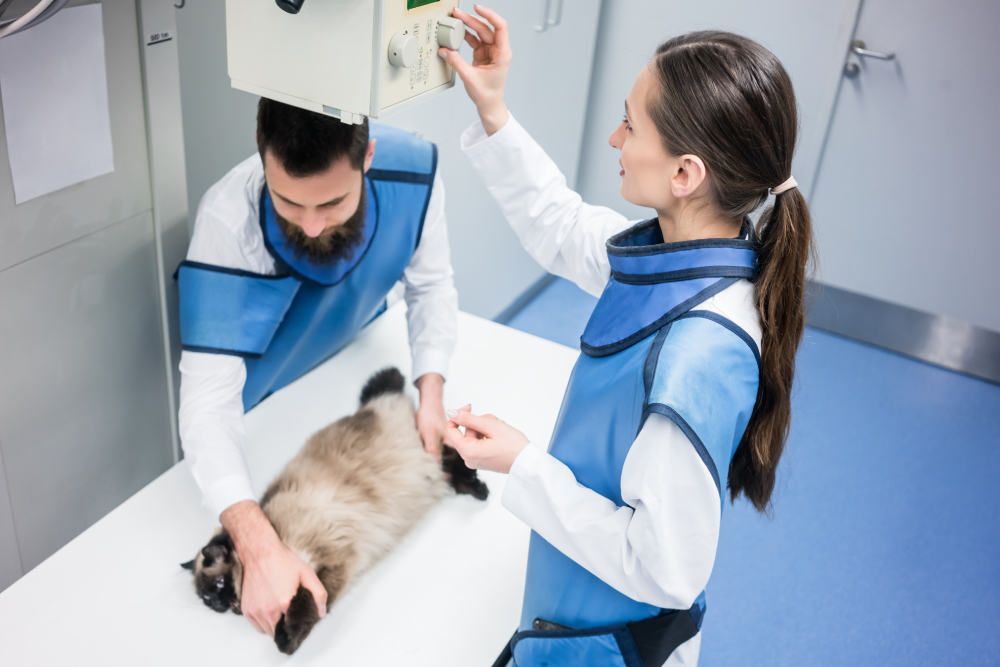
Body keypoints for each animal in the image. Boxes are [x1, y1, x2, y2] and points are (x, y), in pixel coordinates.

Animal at [186, 366, 490, 652]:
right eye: (205, 598)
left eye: (219, 585)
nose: (216, 604)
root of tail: (375, 404)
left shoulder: (327, 563)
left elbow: (307, 604)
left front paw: (285, 640)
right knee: (450, 470)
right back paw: (474, 487)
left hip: (430, 451)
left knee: (453, 455)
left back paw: (479, 488)